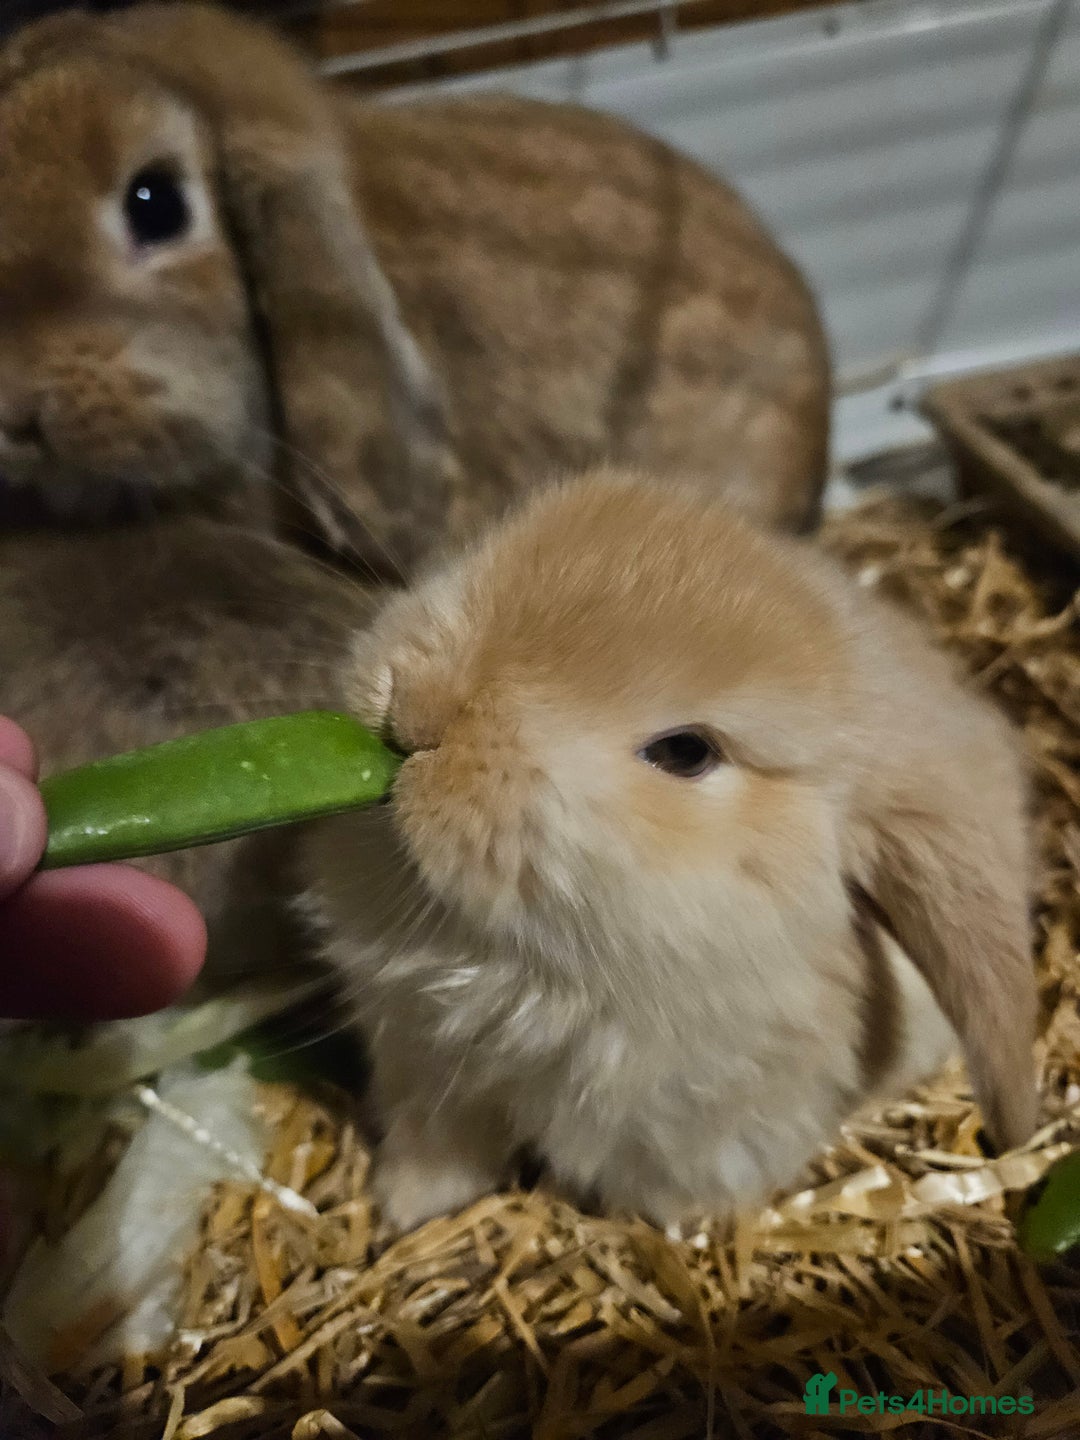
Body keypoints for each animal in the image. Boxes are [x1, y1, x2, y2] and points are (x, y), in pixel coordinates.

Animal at [296, 469, 1039, 1232]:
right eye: (486, 554)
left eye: (685, 753)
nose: (421, 709)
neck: (521, 960)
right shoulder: (427, 1066)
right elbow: (439, 1149)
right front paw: (402, 1210)